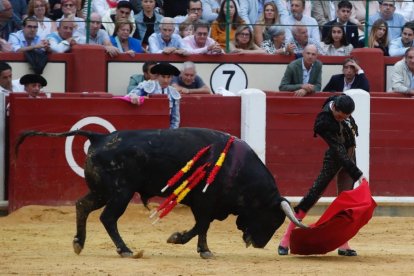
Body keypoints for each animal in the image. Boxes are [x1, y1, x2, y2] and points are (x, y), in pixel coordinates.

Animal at [16, 127, 306, 258]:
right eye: (273, 218)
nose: (259, 244)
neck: (237, 167)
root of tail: (99, 138)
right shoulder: (205, 202)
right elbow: (202, 226)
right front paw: (193, 245)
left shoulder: (207, 205)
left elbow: (202, 227)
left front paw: (190, 245)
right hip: (120, 193)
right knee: (108, 218)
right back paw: (125, 250)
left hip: (101, 192)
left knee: (82, 206)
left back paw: (79, 243)